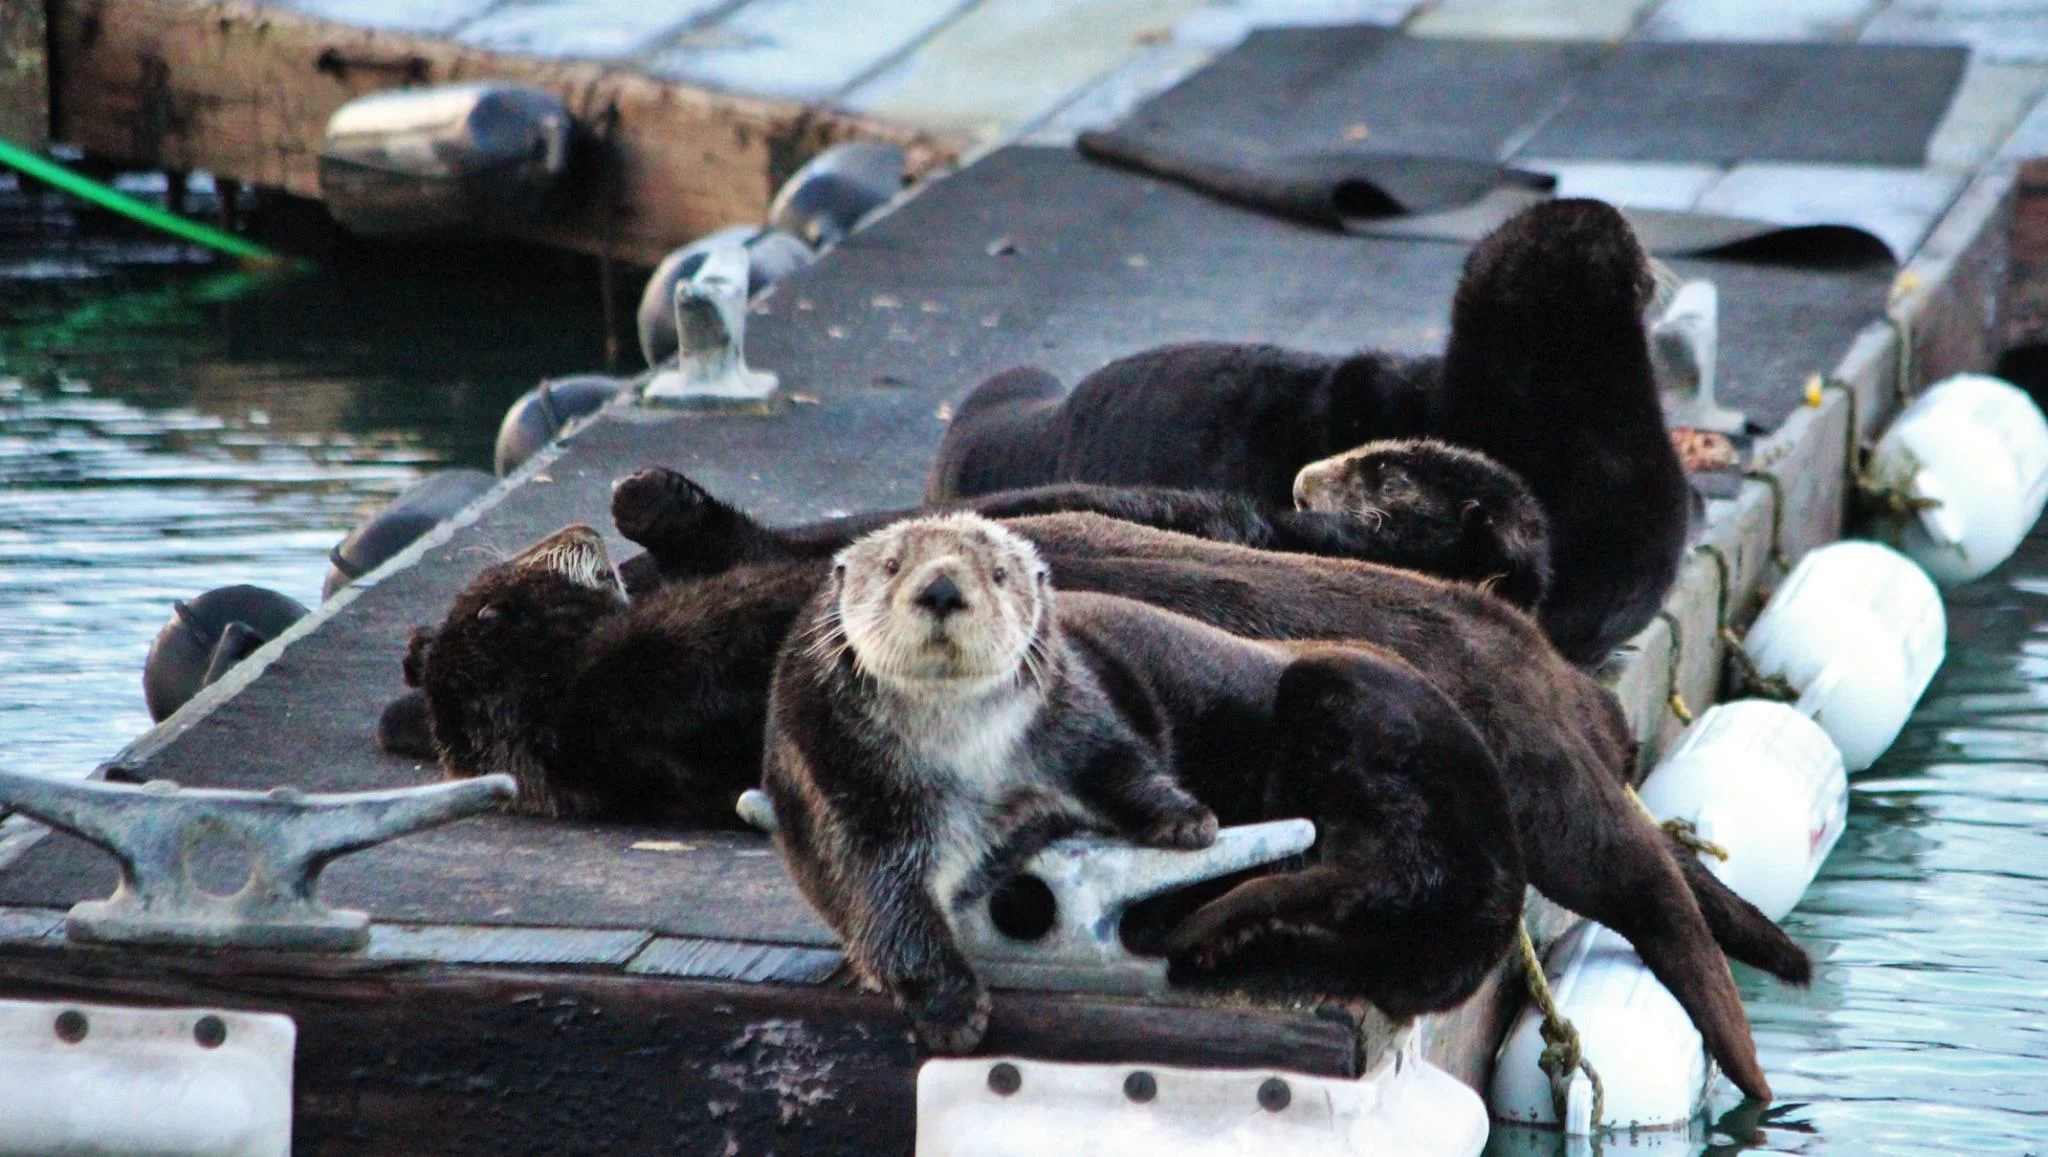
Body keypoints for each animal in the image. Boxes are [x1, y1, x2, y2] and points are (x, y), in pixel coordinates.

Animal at [761, 511, 1531, 1048]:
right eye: (891, 565)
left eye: (998, 573)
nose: (943, 586)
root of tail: (1498, 878)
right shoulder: (837, 790)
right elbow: (877, 900)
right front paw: (950, 1008)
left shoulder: (1091, 711)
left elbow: (1114, 769)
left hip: (1356, 708)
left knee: (1374, 862)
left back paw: (1216, 924)